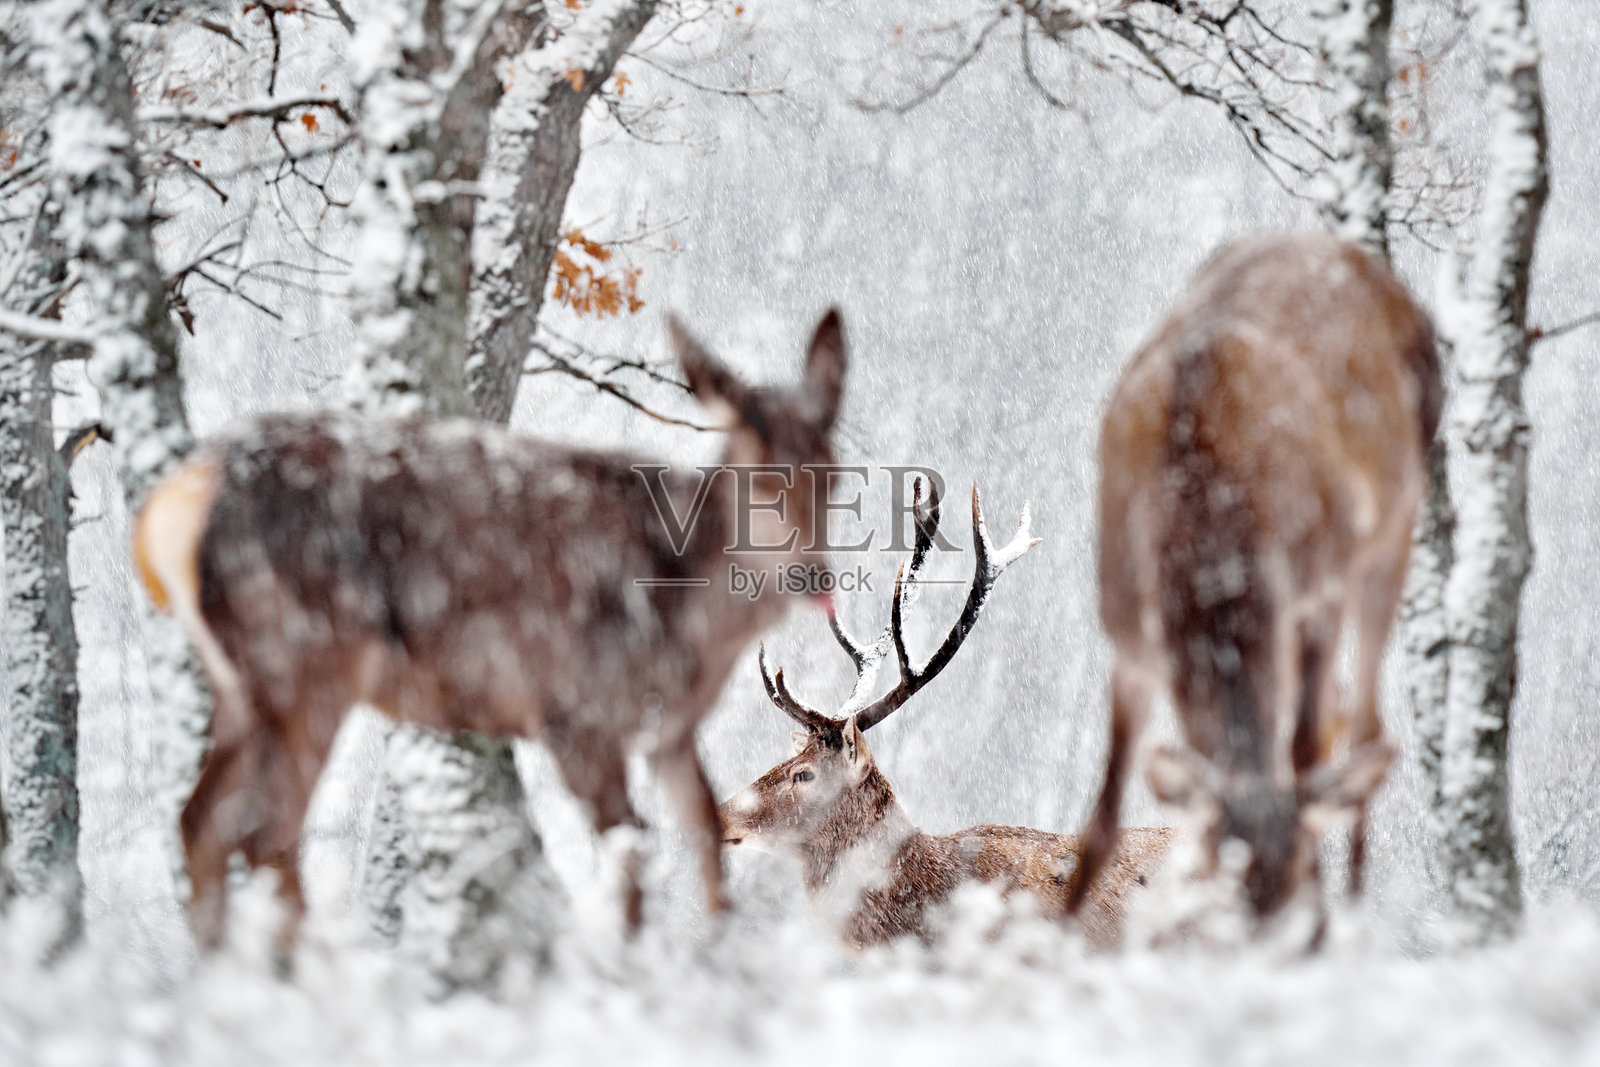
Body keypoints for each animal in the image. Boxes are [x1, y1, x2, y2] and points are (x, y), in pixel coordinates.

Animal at [133, 309, 849, 952]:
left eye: (835, 473)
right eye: (760, 476)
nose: (815, 575)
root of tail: (176, 503)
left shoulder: (670, 728)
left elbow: (702, 832)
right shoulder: (574, 711)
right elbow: (629, 846)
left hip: (243, 685)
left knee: (202, 821)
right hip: (308, 661)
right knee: (268, 831)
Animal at [1067, 233, 1443, 931]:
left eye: (1293, 879)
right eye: (1220, 885)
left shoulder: (1317, 593)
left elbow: (1303, 754)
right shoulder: (1127, 636)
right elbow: (1102, 817)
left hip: (1396, 527)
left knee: (1365, 726)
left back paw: (1358, 902)